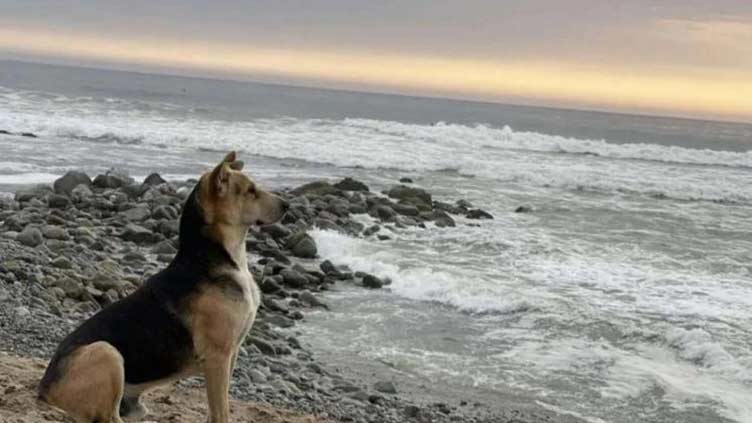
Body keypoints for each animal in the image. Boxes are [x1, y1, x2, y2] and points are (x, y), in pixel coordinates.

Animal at [37, 153, 290, 423]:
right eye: (251, 191)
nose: (287, 206)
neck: (213, 258)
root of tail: (44, 389)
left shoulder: (231, 354)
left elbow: (215, 410)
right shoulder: (218, 357)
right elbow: (221, 411)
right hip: (107, 352)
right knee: (110, 418)